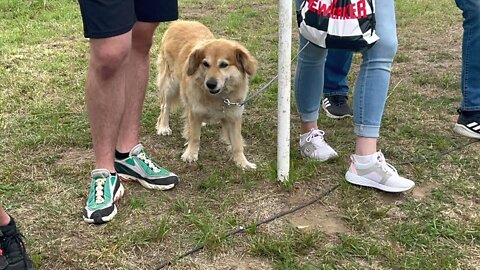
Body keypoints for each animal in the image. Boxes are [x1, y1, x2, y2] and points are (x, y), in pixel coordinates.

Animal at [156, 20, 256, 169]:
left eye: (224, 65)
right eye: (205, 64)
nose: (211, 84)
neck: (218, 97)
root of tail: (180, 22)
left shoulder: (234, 115)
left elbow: (237, 143)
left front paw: (242, 162)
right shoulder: (195, 111)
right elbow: (195, 137)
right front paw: (191, 154)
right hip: (170, 83)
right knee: (165, 107)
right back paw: (163, 127)